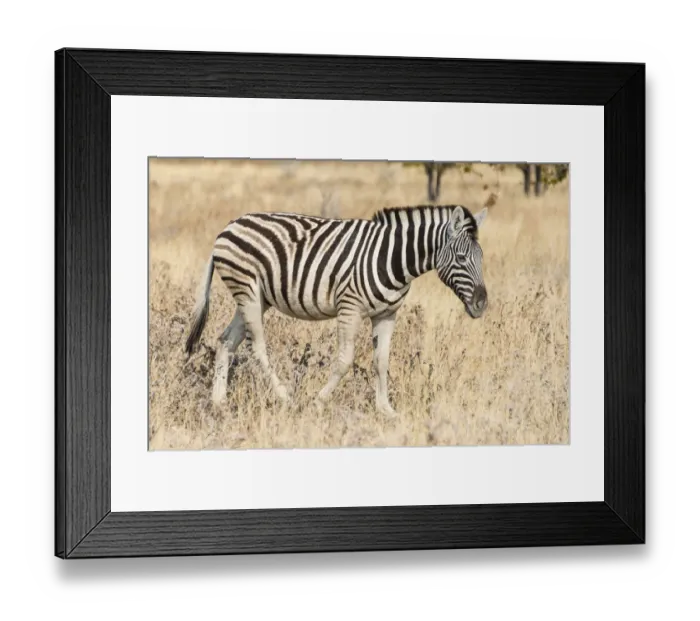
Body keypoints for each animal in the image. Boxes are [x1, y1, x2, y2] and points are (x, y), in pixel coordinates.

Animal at [184, 204, 489, 417]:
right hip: (246, 289)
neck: (392, 259)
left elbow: (381, 362)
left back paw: (219, 403)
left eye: (482, 257)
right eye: (462, 258)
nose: (482, 304)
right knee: (257, 347)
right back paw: (285, 398)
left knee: (226, 341)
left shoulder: (387, 314)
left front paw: (386, 410)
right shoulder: (349, 308)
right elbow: (344, 361)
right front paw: (317, 403)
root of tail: (229, 226)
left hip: (256, 297)